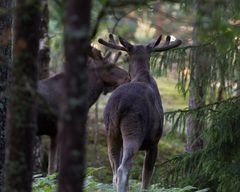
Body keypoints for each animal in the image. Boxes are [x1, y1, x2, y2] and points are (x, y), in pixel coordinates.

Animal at [98, 33, 181, 191]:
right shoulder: (154, 142)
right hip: (133, 130)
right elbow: (146, 180)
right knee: (122, 169)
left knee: (115, 171)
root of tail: (118, 105)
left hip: (111, 133)